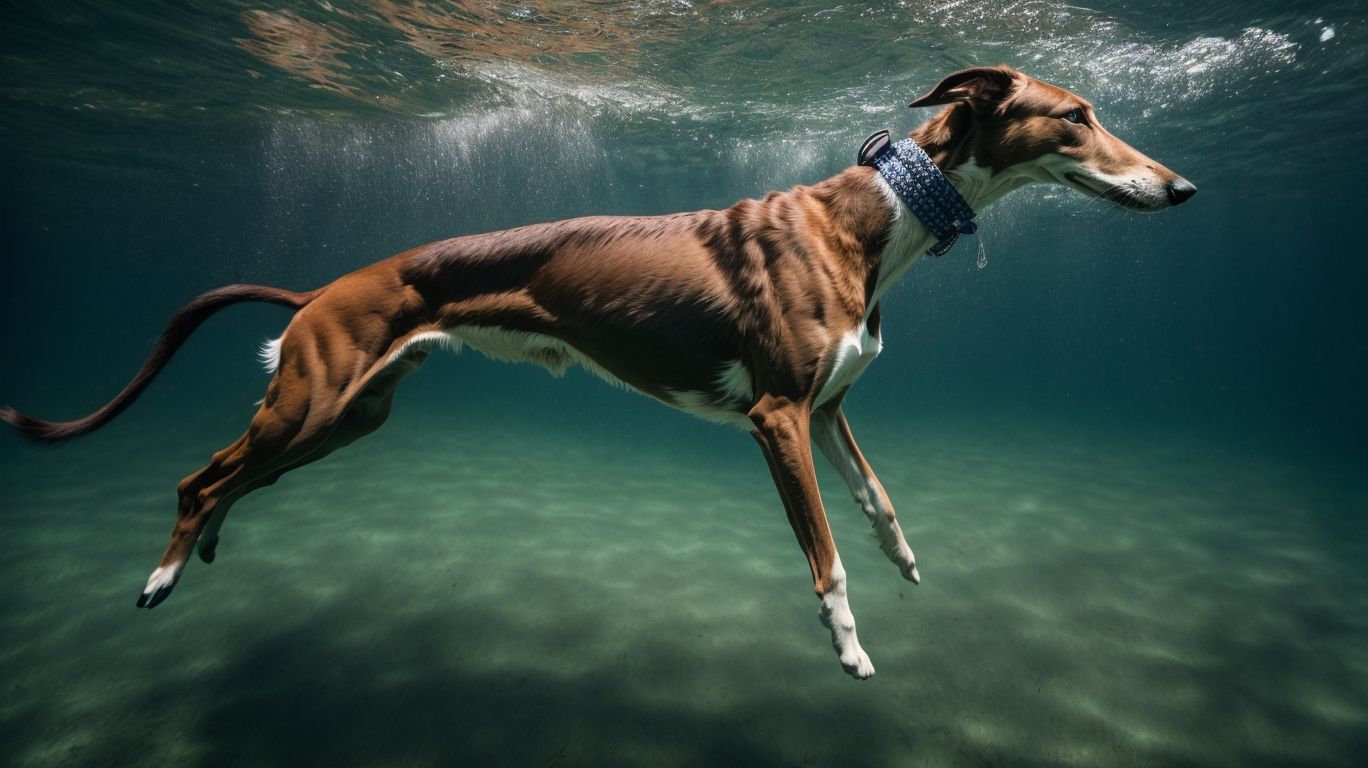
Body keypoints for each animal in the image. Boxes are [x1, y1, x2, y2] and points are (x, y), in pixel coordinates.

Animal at [2, 67, 1198, 676]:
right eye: (1078, 116)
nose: (1183, 189)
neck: (873, 219)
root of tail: (320, 292)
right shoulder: (778, 418)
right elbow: (824, 562)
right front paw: (853, 651)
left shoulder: (834, 406)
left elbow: (878, 502)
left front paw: (907, 561)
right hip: (315, 403)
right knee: (198, 474)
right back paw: (162, 576)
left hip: (347, 418)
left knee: (227, 477)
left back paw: (202, 553)